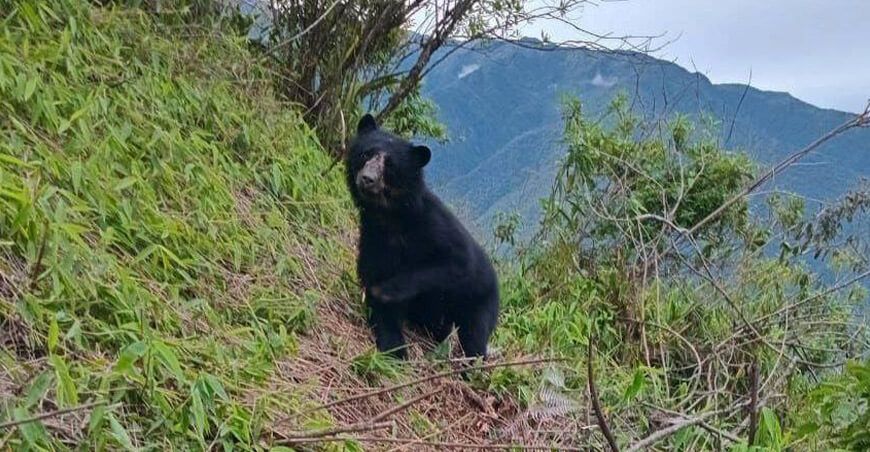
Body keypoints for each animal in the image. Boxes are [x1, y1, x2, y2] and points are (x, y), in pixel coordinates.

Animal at [346, 113, 499, 359]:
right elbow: (377, 290)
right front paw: (395, 349)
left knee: (474, 336)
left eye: (390, 165)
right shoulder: (373, 240)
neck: (389, 216)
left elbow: (454, 263)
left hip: (481, 301)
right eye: (366, 154)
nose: (367, 179)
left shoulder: (436, 227)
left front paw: (387, 290)